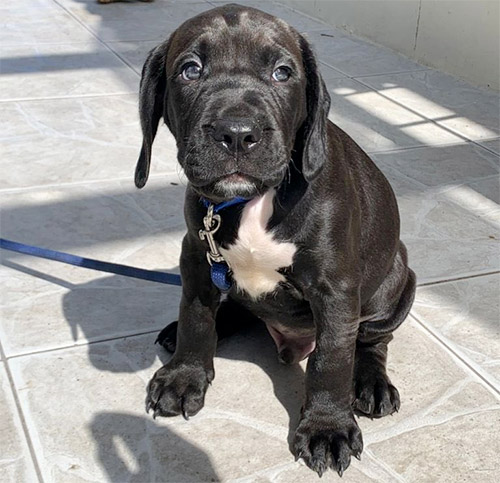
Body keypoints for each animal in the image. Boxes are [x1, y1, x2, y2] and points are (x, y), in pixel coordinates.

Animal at [135, 3, 416, 478]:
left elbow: (332, 358)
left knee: (371, 341)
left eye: (283, 72)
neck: (252, 201)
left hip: (396, 282)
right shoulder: (196, 256)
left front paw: (327, 428)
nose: (236, 133)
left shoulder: (336, 289)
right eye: (190, 70)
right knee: (235, 308)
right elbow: (196, 315)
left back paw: (372, 383)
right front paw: (184, 374)